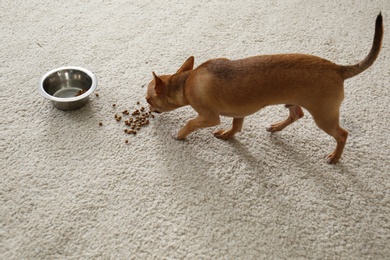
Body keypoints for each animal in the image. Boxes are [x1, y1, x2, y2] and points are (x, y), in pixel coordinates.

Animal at [145, 13, 382, 164]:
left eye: (148, 100)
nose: (148, 110)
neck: (187, 81)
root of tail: (338, 68)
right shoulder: (238, 112)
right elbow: (236, 126)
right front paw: (228, 135)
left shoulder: (208, 117)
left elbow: (190, 123)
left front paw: (180, 134)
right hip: (294, 101)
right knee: (296, 114)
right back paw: (276, 127)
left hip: (324, 117)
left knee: (342, 134)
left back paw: (335, 157)